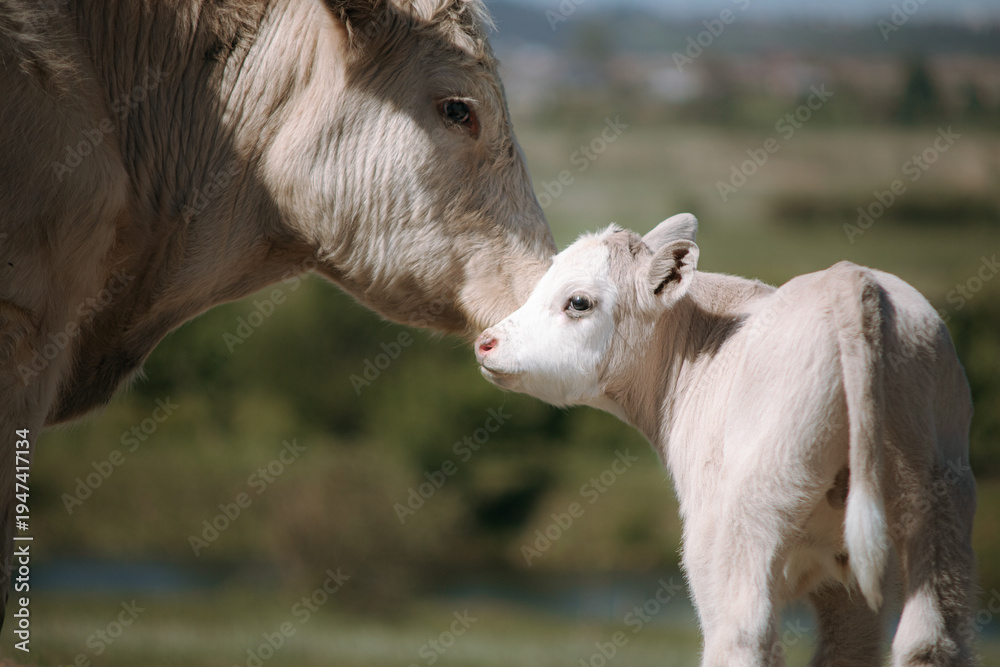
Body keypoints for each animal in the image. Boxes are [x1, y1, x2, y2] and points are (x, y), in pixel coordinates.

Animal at [475, 214, 977, 666]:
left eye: (578, 302)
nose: (486, 342)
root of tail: (850, 280)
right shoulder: (844, 589)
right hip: (937, 497)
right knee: (929, 639)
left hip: (736, 525)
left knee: (741, 635)